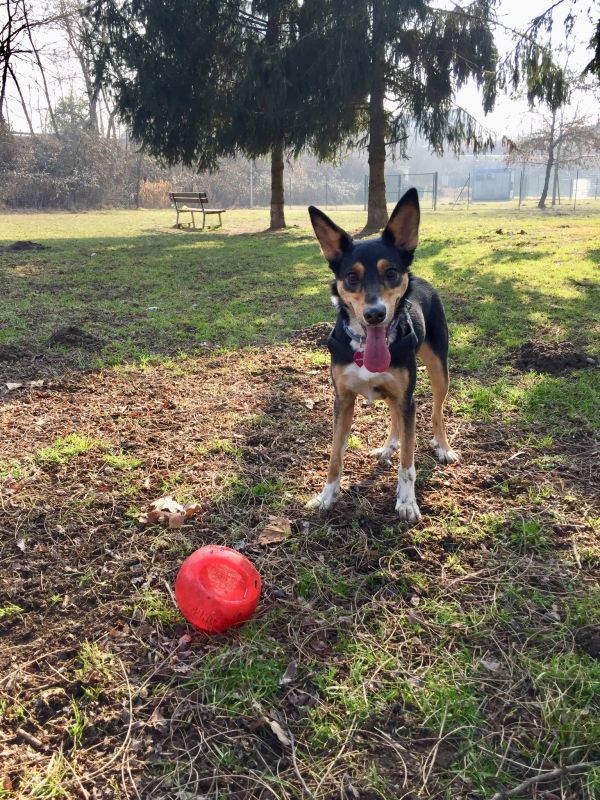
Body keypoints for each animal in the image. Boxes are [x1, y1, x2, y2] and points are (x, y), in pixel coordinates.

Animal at [308, 190, 458, 520]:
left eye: (391, 272)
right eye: (351, 277)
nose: (374, 314)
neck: (366, 347)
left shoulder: (408, 398)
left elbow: (408, 463)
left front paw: (407, 502)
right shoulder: (343, 399)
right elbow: (335, 456)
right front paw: (326, 497)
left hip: (438, 369)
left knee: (437, 411)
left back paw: (443, 447)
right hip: (393, 392)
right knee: (394, 419)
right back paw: (389, 446)